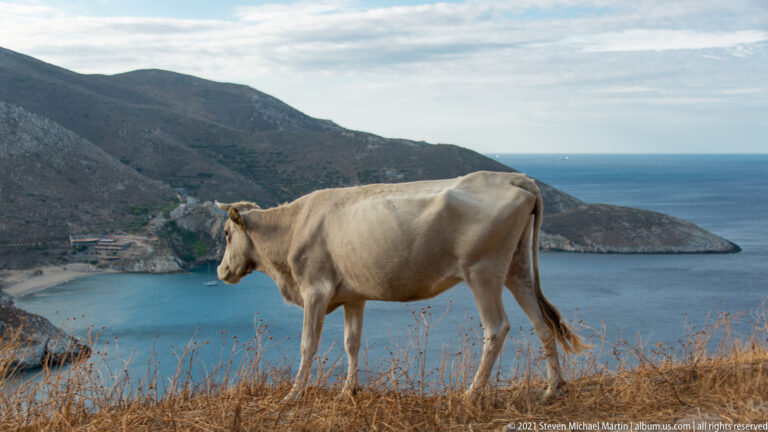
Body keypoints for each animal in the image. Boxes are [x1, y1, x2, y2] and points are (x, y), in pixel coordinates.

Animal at [216, 170, 588, 403]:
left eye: (226, 233)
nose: (221, 270)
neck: (291, 228)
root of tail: (514, 177)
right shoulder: (354, 296)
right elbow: (352, 343)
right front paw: (349, 390)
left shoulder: (315, 290)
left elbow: (308, 344)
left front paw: (293, 394)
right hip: (517, 268)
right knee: (542, 323)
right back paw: (552, 389)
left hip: (482, 272)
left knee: (497, 328)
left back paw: (472, 394)